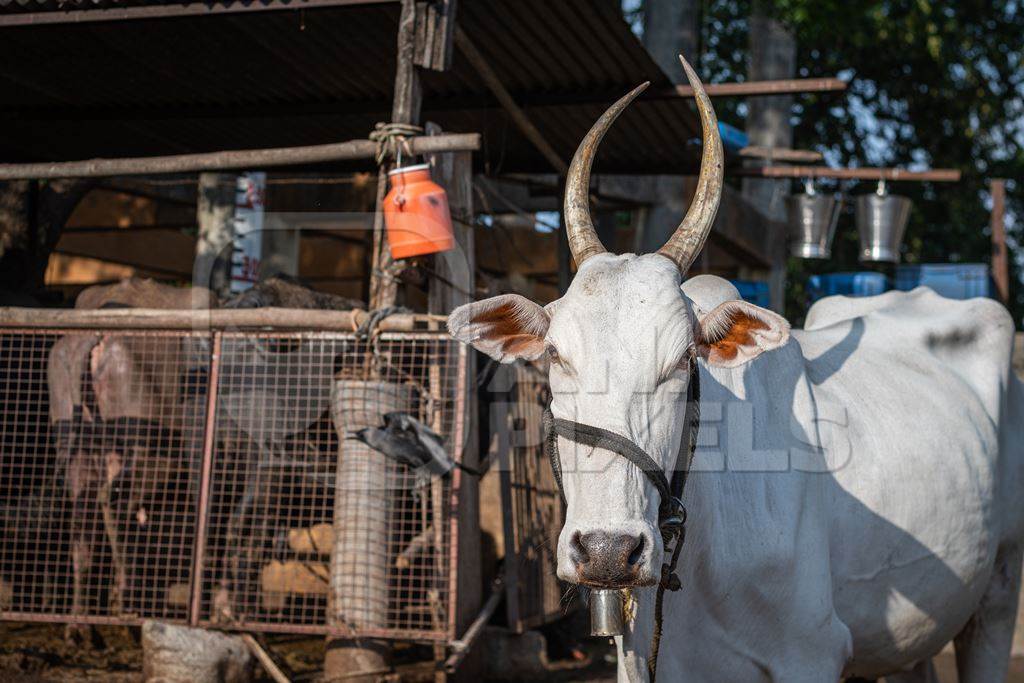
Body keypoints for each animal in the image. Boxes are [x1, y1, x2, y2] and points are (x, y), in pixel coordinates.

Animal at [450, 54, 1024, 683]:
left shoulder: (810, 654)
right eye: (557, 354)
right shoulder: (636, 661)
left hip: (998, 591)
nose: (606, 550)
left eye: (683, 359)